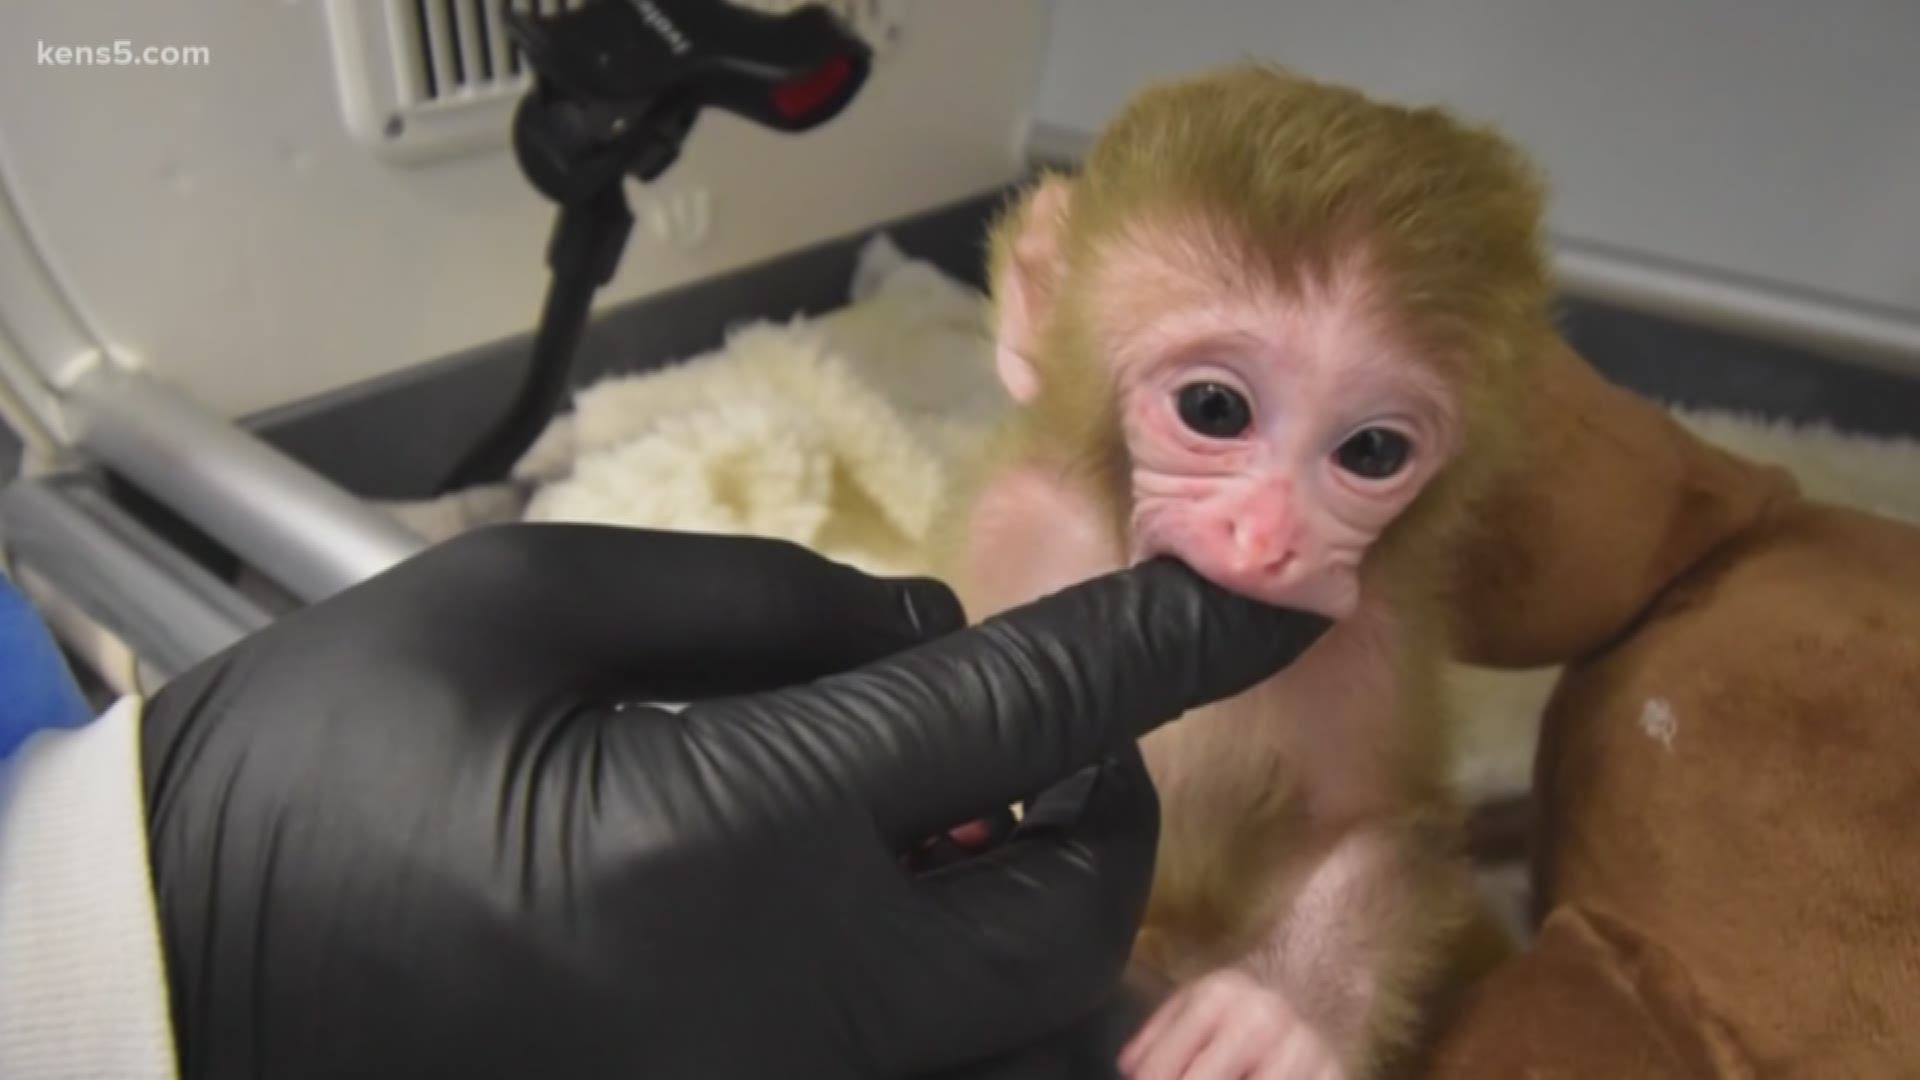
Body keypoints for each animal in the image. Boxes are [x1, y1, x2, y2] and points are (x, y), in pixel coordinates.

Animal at [933, 62, 1559, 1068]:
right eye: (1215, 409)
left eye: (1372, 452)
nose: (1269, 539)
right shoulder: (1012, 522)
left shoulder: (1369, 638)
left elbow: (1374, 828)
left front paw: (1275, 1012)